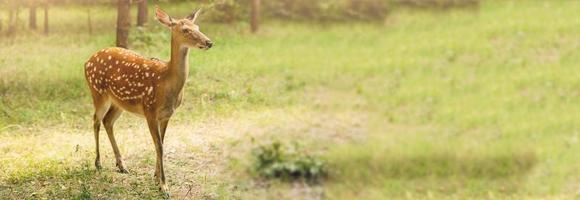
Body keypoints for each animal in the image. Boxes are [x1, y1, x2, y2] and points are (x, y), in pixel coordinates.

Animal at [84, 6, 213, 194]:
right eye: (185, 30)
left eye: (197, 27)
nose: (209, 42)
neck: (166, 82)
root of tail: (86, 62)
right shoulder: (149, 110)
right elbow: (159, 146)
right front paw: (164, 186)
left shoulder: (166, 115)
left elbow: (162, 143)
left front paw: (156, 177)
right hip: (98, 92)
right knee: (96, 120)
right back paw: (98, 163)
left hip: (119, 102)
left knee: (108, 121)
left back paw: (122, 165)